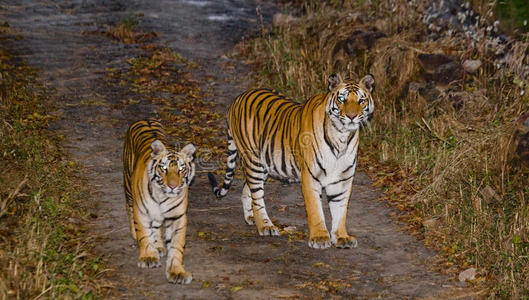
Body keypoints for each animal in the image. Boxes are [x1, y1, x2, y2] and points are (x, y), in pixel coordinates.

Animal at [122, 119, 195, 284]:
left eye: (181, 169)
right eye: (164, 168)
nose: (173, 186)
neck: (162, 196)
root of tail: (145, 119)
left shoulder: (177, 217)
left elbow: (176, 245)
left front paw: (177, 271)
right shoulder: (141, 212)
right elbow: (144, 234)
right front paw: (148, 257)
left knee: (156, 226)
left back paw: (160, 247)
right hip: (128, 187)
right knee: (129, 208)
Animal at [208, 74, 374, 248]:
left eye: (361, 100)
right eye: (342, 99)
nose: (351, 117)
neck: (342, 136)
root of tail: (238, 99)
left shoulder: (343, 179)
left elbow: (340, 210)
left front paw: (341, 237)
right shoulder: (310, 176)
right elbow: (315, 209)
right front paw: (320, 238)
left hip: (264, 164)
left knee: (248, 190)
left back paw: (250, 218)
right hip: (254, 162)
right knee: (257, 195)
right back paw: (266, 226)